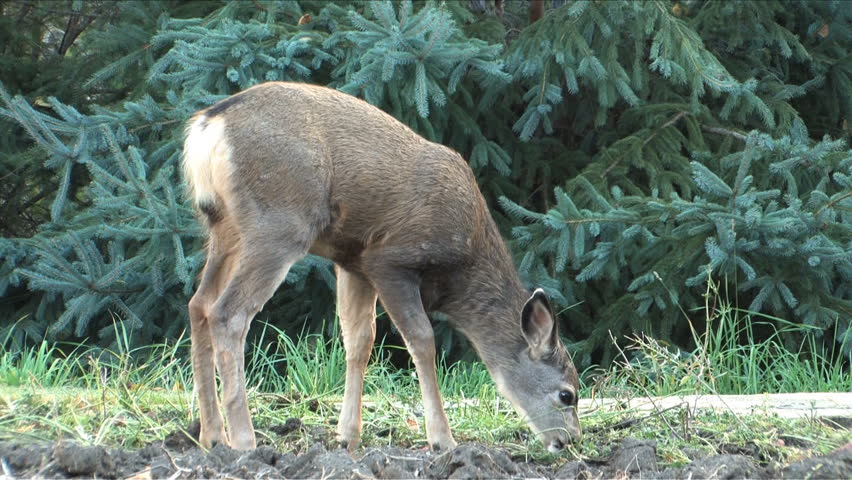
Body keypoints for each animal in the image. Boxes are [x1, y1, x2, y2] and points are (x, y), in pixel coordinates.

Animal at [182, 82, 581, 453]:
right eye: (567, 394)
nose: (569, 440)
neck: (463, 265)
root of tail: (207, 128)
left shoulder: (353, 262)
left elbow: (359, 340)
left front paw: (348, 436)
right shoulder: (389, 259)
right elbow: (422, 340)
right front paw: (442, 439)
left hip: (223, 226)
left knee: (199, 304)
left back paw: (212, 436)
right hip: (279, 223)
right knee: (228, 313)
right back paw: (244, 439)